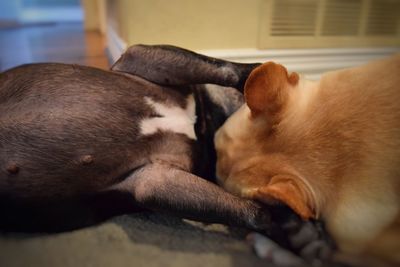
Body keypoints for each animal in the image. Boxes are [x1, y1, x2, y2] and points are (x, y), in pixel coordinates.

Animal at [0, 45, 332, 262]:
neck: (204, 123)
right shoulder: (137, 56)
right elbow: (227, 68)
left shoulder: (153, 179)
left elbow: (252, 211)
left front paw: (291, 229)